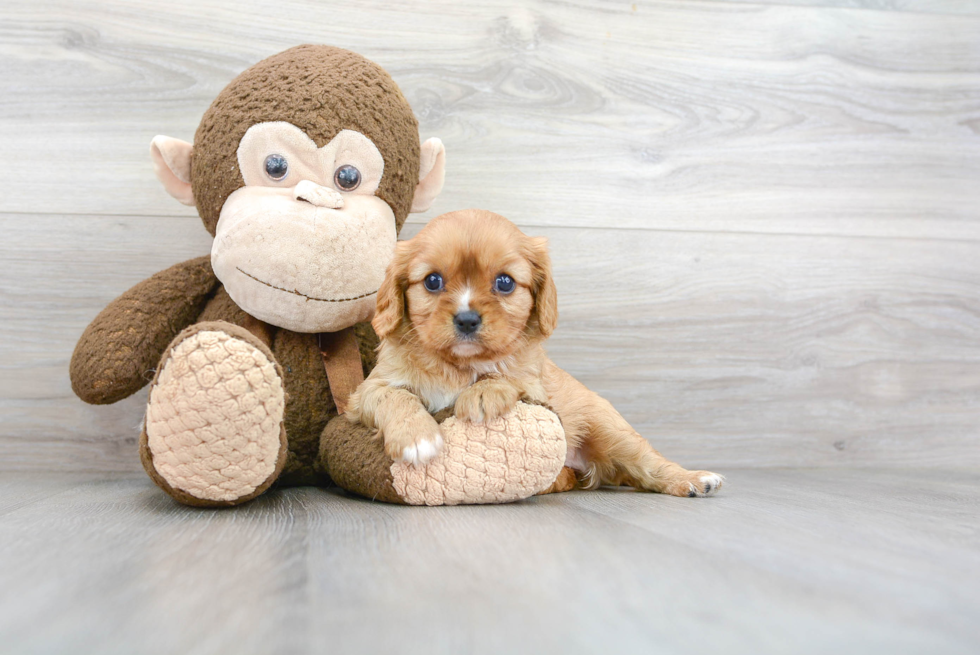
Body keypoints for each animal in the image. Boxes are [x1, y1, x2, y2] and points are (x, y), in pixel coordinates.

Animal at [348, 210, 724, 498]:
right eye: (432, 281)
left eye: (504, 283)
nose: (467, 319)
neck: (459, 365)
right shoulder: (367, 391)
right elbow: (396, 397)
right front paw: (417, 436)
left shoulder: (535, 386)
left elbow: (506, 375)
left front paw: (483, 393)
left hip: (610, 430)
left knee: (649, 464)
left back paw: (694, 479)